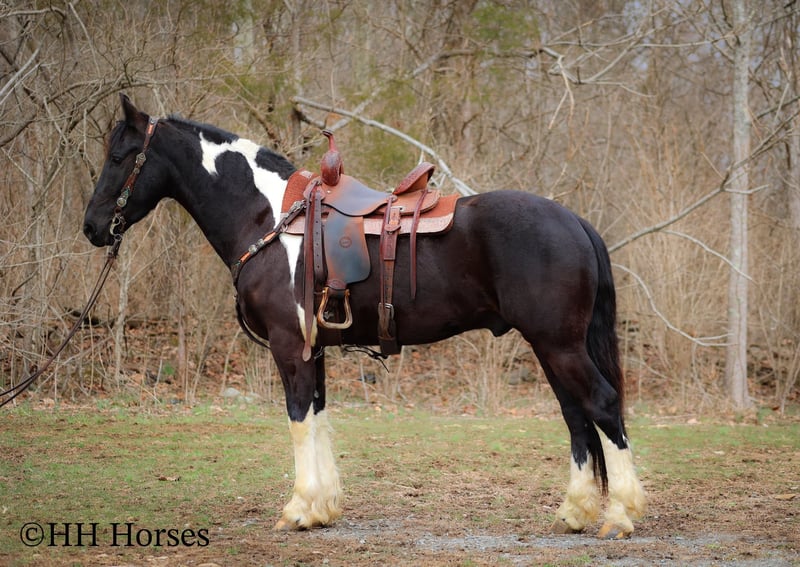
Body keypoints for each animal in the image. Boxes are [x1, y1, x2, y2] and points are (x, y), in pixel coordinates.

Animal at [83, 94, 646, 538]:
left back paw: (619, 515)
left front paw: (298, 510)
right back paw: (576, 512)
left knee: (601, 404)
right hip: (551, 347)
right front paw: (322, 508)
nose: (92, 226)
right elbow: (318, 417)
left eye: (120, 155)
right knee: (576, 416)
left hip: (559, 345)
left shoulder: (289, 346)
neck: (269, 218)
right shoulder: (313, 348)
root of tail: (573, 221)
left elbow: (298, 420)